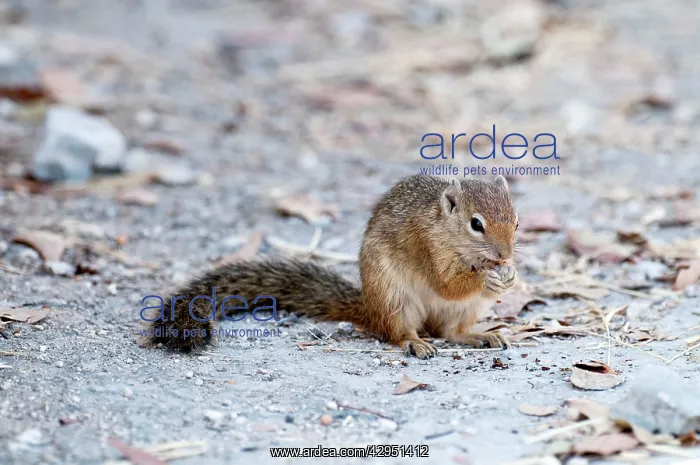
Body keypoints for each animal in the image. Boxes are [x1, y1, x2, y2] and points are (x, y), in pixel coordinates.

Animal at [143, 174, 519, 359]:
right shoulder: (426, 246)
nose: (504, 255)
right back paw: (415, 343)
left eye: (516, 220)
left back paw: (480, 335)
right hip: (395, 299)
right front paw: (487, 279)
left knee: (449, 331)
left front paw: (512, 274)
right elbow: (446, 284)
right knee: (400, 333)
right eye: (475, 224)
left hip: (462, 311)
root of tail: (369, 309)